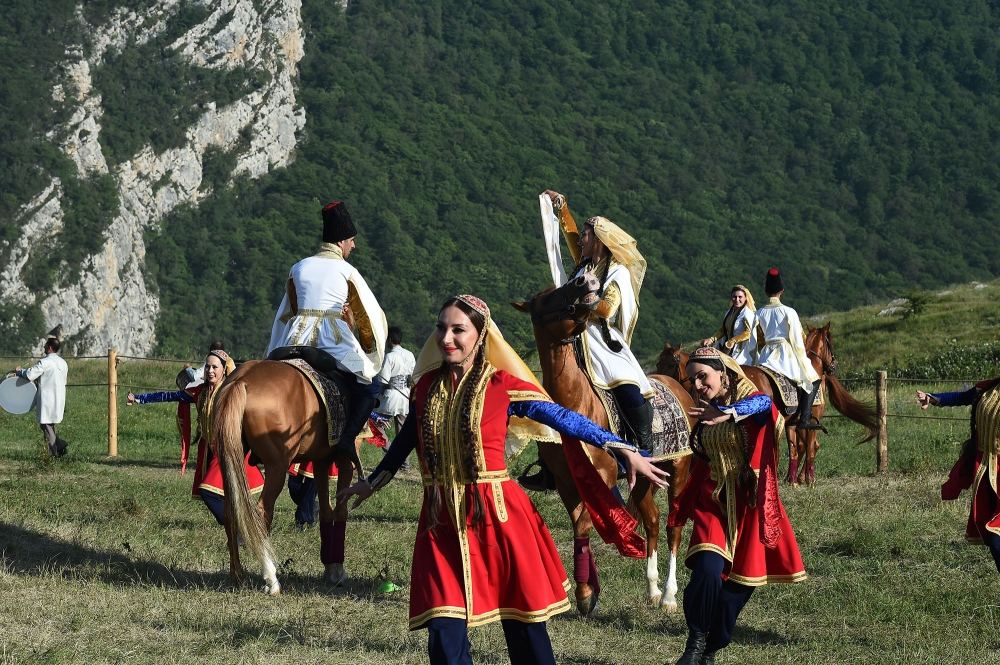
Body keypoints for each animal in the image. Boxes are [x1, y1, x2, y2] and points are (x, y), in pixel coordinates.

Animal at [211, 360, 360, 592]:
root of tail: (241, 380)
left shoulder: (321, 461)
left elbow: (326, 512)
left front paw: (329, 569)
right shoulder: (345, 461)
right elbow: (340, 512)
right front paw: (337, 571)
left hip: (230, 457)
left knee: (229, 512)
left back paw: (238, 576)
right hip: (277, 466)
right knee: (261, 512)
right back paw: (271, 580)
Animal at [516, 274, 696, 612]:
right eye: (546, 299)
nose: (583, 281)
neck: (574, 406)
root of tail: (679, 388)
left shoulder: (603, 477)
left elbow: (586, 521)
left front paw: (586, 594)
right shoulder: (566, 482)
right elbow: (579, 525)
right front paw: (587, 590)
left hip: (680, 470)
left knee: (673, 527)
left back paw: (668, 596)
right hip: (645, 479)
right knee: (652, 521)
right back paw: (652, 590)